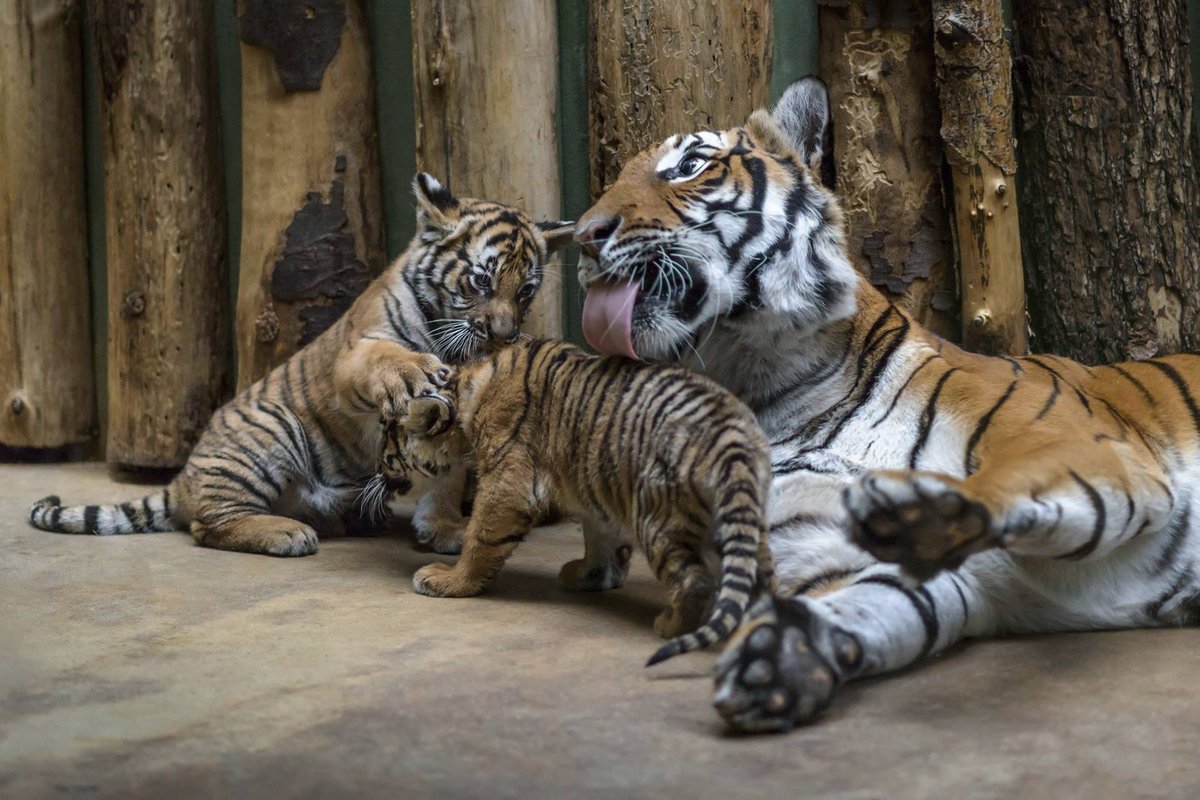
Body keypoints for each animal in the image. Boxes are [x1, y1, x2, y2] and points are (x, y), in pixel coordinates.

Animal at [28, 176, 571, 556]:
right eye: (481, 281)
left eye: (526, 291)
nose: (504, 335)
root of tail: (183, 479)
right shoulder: (356, 353)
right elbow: (386, 358)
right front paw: (414, 372)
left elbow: (447, 476)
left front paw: (443, 529)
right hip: (272, 428)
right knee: (207, 525)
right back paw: (286, 532)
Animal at [571, 76, 1200, 734]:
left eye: (690, 166)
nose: (583, 237)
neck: (767, 383)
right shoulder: (842, 555)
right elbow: (874, 603)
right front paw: (777, 659)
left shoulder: (1082, 444)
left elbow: (1002, 480)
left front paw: (915, 509)